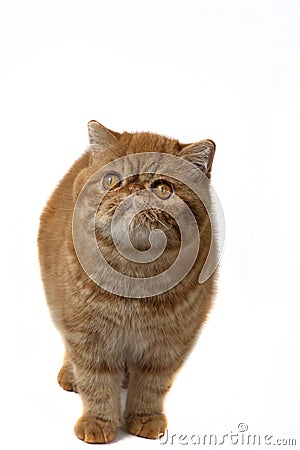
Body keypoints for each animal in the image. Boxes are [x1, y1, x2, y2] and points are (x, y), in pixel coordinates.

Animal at [38, 121, 219, 444]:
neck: (134, 280)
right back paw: (70, 376)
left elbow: (151, 385)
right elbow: (96, 384)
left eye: (163, 188)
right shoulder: (88, 336)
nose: (133, 190)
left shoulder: (169, 343)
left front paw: (144, 419)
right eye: (111, 180)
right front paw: (98, 423)